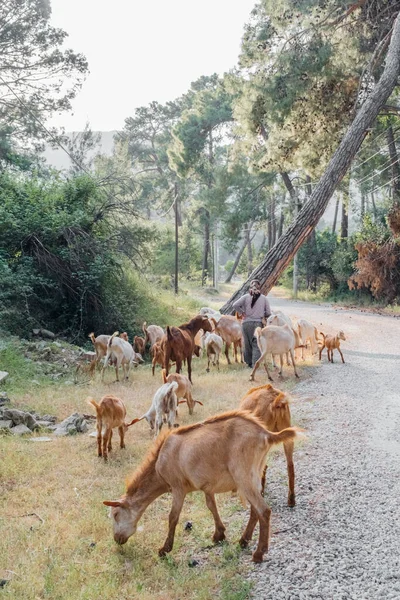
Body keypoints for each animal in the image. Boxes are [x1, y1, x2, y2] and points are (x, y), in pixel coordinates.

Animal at [104, 412, 302, 564]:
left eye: (116, 514)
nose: (117, 540)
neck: (159, 463)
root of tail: (265, 434)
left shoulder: (178, 487)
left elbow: (173, 517)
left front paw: (164, 549)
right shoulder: (207, 487)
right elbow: (211, 506)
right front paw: (219, 535)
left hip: (244, 475)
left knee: (264, 510)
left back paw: (259, 553)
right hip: (255, 474)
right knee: (255, 510)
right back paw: (243, 540)